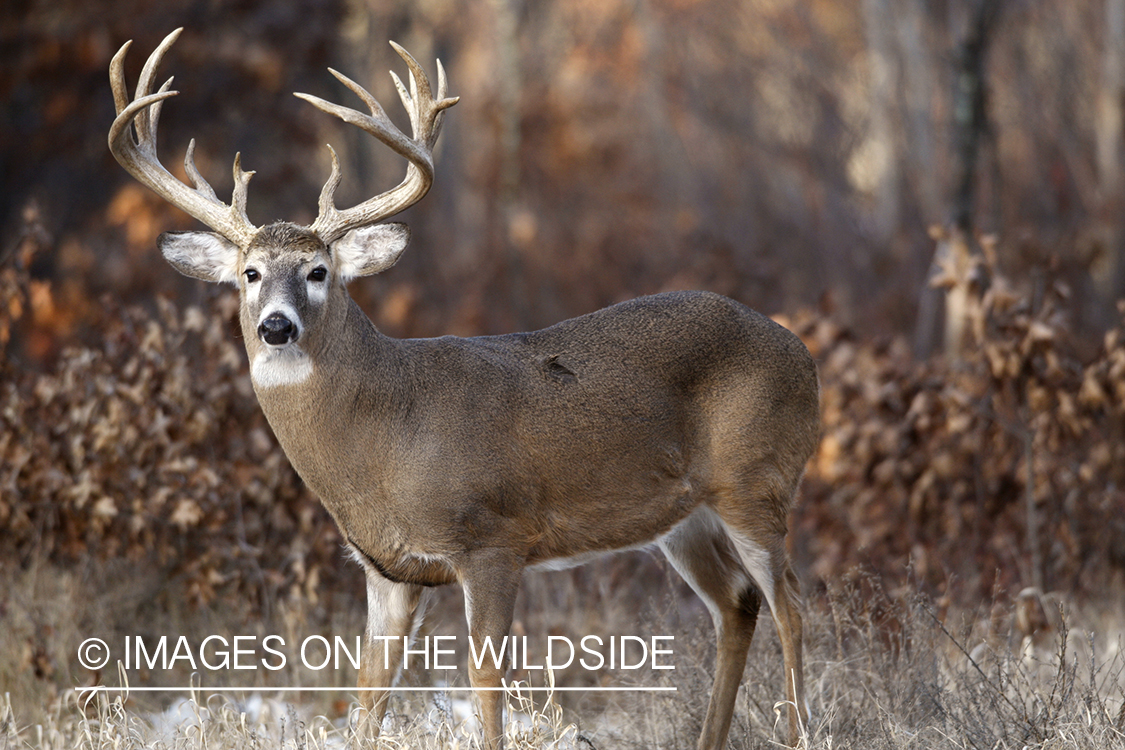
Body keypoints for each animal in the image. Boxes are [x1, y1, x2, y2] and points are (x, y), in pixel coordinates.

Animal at [107, 29, 819, 750]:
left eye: (317, 271)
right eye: (250, 273)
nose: (276, 326)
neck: (385, 437)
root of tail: (800, 351)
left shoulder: (493, 536)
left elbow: (485, 675)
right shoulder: (385, 568)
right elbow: (368, 689)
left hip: (756, 479)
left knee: (789, 603)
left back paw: (799, 732)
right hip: (684, 517)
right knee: (737, 603)